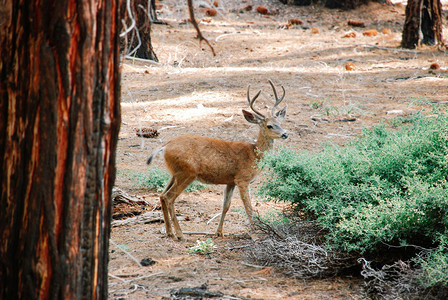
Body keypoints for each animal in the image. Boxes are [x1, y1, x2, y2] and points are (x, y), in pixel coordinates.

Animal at [146, 80, 288, 241]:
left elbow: (226, 206)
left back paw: (169, 232)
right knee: (169, 197)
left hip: (175, 173)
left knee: (162, 195)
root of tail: (165, 145)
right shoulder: (242, 179)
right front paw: (254, 234)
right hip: (187, 173)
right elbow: (249, 207)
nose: (285, 134)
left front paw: (219, 232)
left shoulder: (231, 181)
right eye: (269, 125)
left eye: (280, 123)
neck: (254, 154)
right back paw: (180, 235)